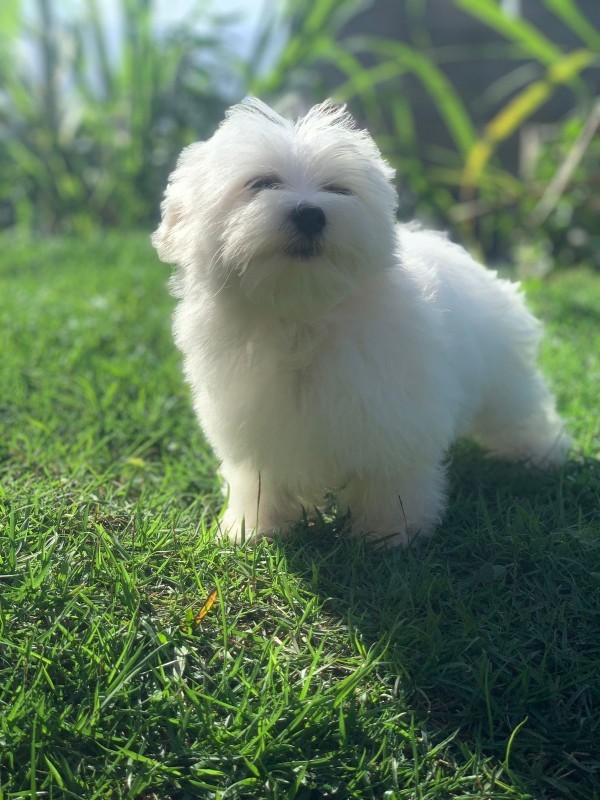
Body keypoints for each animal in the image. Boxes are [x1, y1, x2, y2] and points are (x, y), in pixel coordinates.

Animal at [152, 97, 568, 548]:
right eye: (261, 183)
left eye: (338, 190)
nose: (311, 215)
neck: (304, 317)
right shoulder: (255, 421)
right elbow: (259, 477)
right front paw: (256, 527)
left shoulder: (395, 415)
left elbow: (392, 476)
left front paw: (390, 534)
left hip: (503, 380)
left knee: (520, 411)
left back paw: (540, 456)